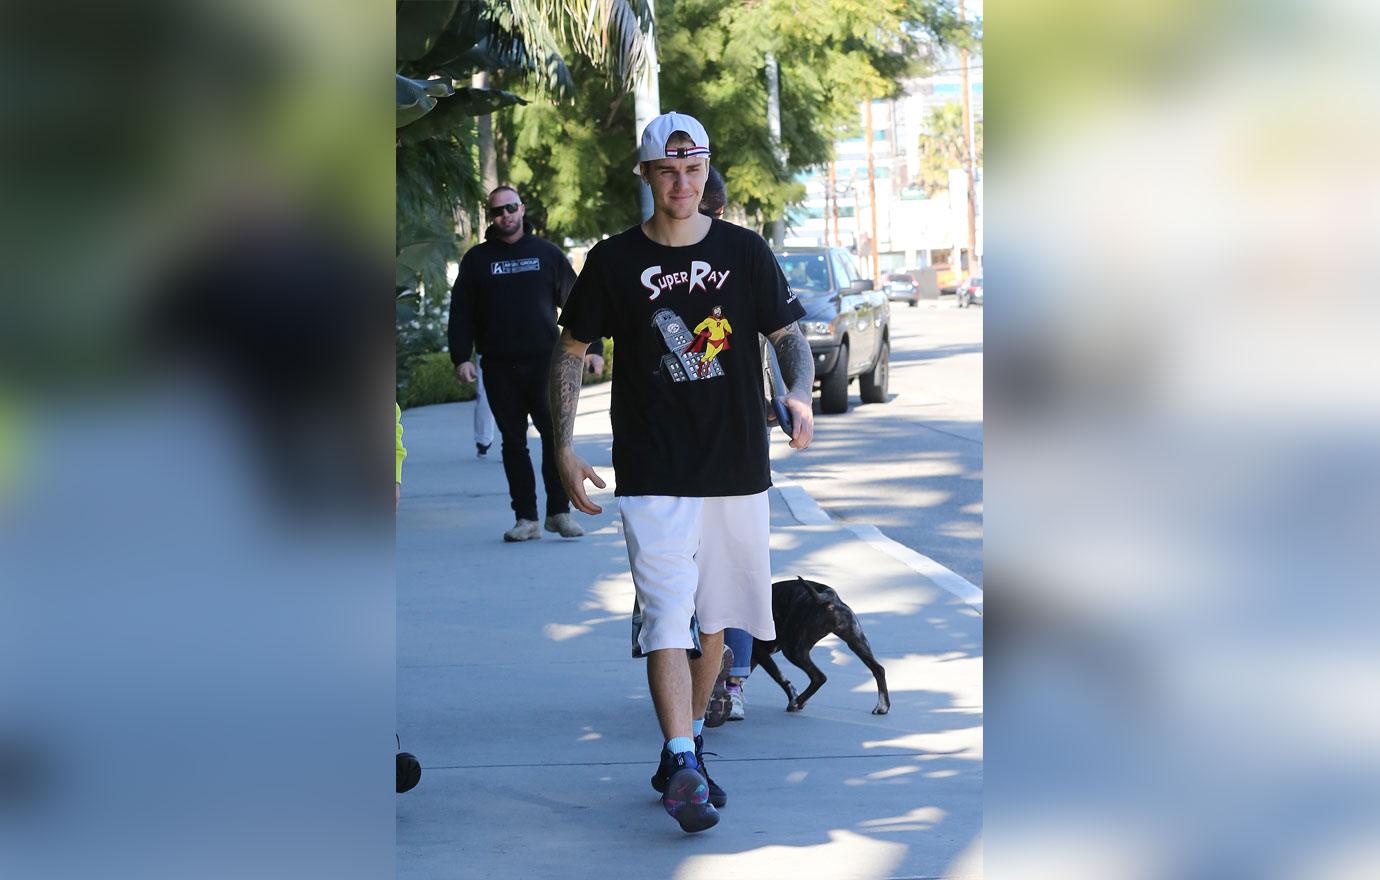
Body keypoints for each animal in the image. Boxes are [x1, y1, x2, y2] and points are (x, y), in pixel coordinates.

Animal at [750, 579, 888, 717]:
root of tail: (830, 596)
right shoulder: (756, 657)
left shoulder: (759, 653)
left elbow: (779, 677)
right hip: (857, 642)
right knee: (878, 669)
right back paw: (883, 707)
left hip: (792, 650)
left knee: (819, 677)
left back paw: (797, 702)